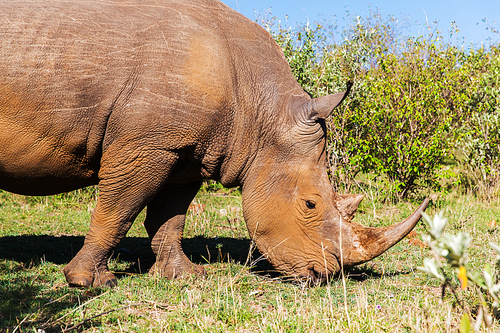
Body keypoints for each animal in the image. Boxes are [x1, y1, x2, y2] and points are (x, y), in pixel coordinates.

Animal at [0, 0, 428, 286]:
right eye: (310, 204)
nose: (322, 275)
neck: (261, 113)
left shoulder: (183, 149)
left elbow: (170, 217)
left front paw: (184, 276)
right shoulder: (145, 145)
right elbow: (117, 209)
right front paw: (89, 282)